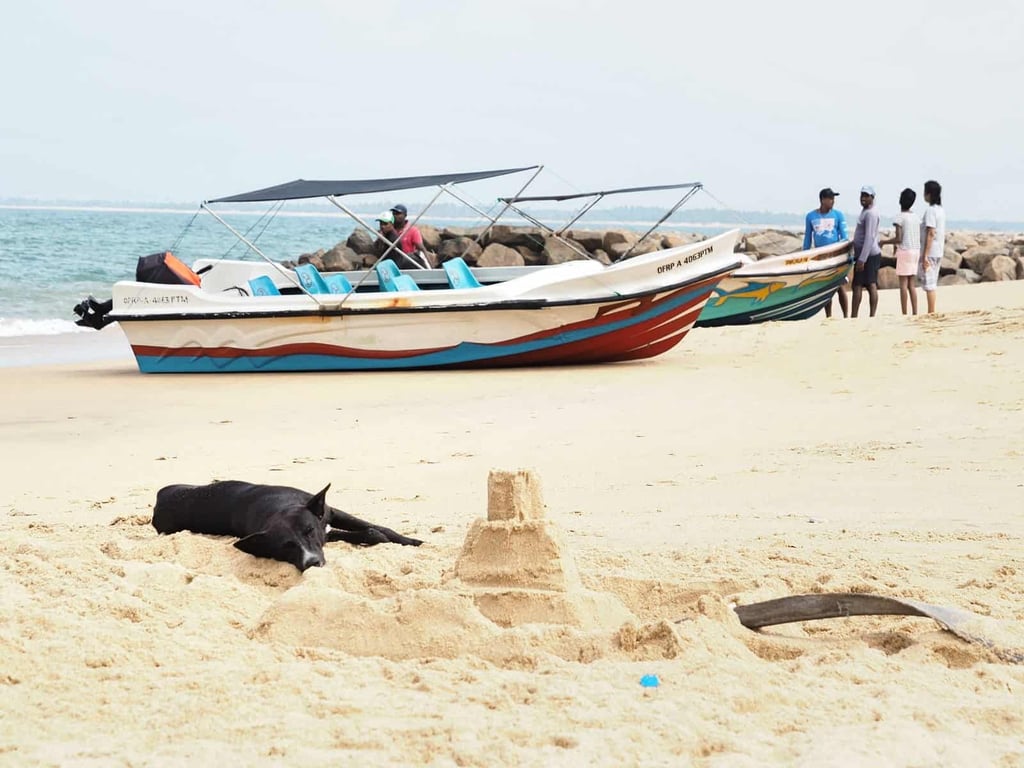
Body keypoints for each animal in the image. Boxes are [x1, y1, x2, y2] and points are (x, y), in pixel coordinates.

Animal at [152, 481, 423, 573]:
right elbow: (366, 533)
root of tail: (159, 500)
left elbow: (376, 528)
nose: (312, 563)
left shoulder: (331, 514)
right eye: (285, 546)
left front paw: (411, 541)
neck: (279, 506)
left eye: (309, 531)